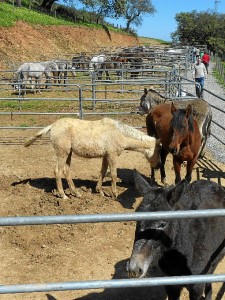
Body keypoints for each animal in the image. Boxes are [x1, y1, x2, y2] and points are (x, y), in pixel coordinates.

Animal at [24, 117, 160, 199]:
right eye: (158, 151)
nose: (158, 166)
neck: (119, 133)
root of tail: (53, 125)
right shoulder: (112, 156)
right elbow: (113, 174)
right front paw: (114, 194)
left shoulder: (106, 156)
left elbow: (103, 172)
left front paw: (100, 191)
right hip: (62, 153)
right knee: (58, 171)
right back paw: (63, 195)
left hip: (69, 154)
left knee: (66, 171)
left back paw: (76, 193)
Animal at [126, 170, 225, 298]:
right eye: (136, 219)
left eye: (162, 224)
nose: (134, 269)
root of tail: (214, 184)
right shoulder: (171, 284)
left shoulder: (197, 287)